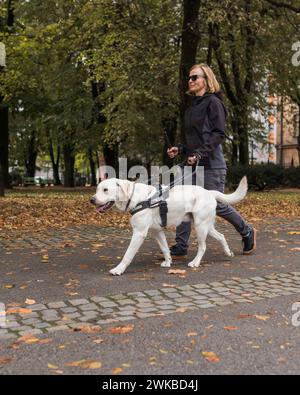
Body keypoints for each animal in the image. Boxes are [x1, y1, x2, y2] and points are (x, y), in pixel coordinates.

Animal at [90, 178, 247, 276]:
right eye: (97, 189)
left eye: (105, 190)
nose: (91, 199)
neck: (135, 197)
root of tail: (209, 191)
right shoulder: (157, 231)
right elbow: (165, 248)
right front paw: (168, 262)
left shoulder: (139, 233)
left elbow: (127, 255)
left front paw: (118, 269)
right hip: (206, 226)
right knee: (221, 236)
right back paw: (228, 252)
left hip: (200, 227)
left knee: (203, 247)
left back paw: (195, 262)